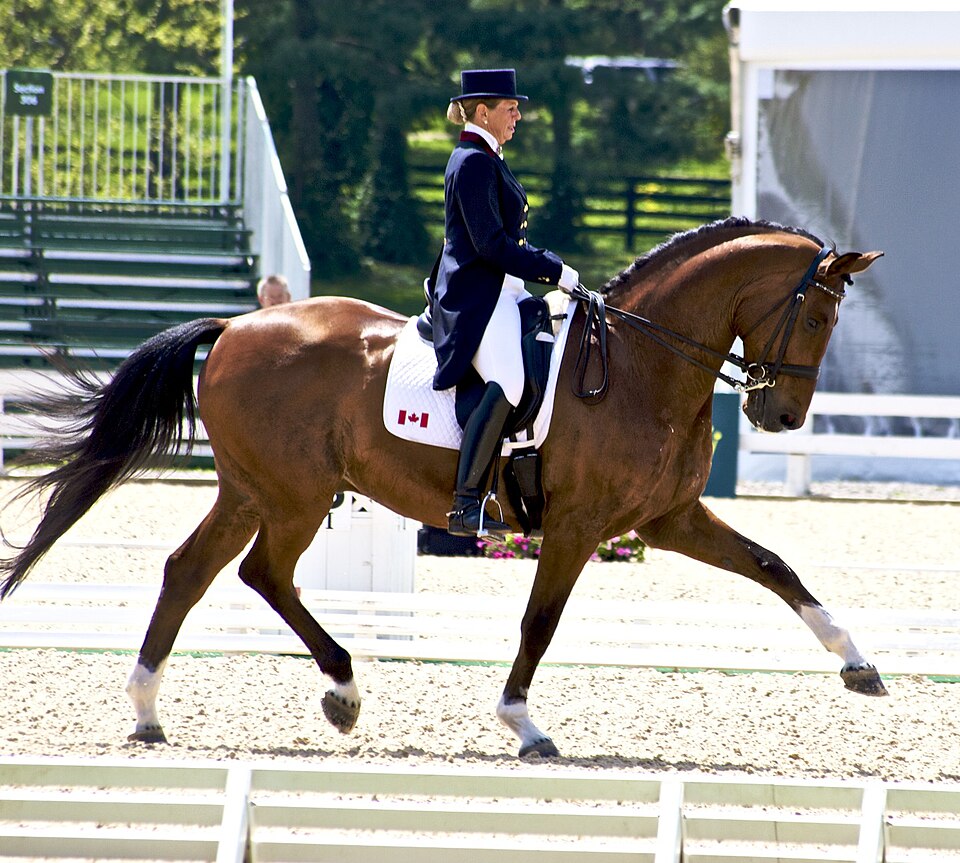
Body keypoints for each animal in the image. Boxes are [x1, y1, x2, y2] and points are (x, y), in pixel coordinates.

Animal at [0, 217, 884, 759]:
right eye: (815, 318)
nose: (780, 414)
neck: (642, 362)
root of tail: (236, 327)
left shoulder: (668, 518)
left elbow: (774, 566)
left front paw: (859, 665)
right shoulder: (579, 526)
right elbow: (540, 621)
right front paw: (524, 724)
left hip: (254, 489)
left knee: (194, 570)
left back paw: (153, 710)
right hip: (293, 494)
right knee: (261, 572)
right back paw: (341, 689)